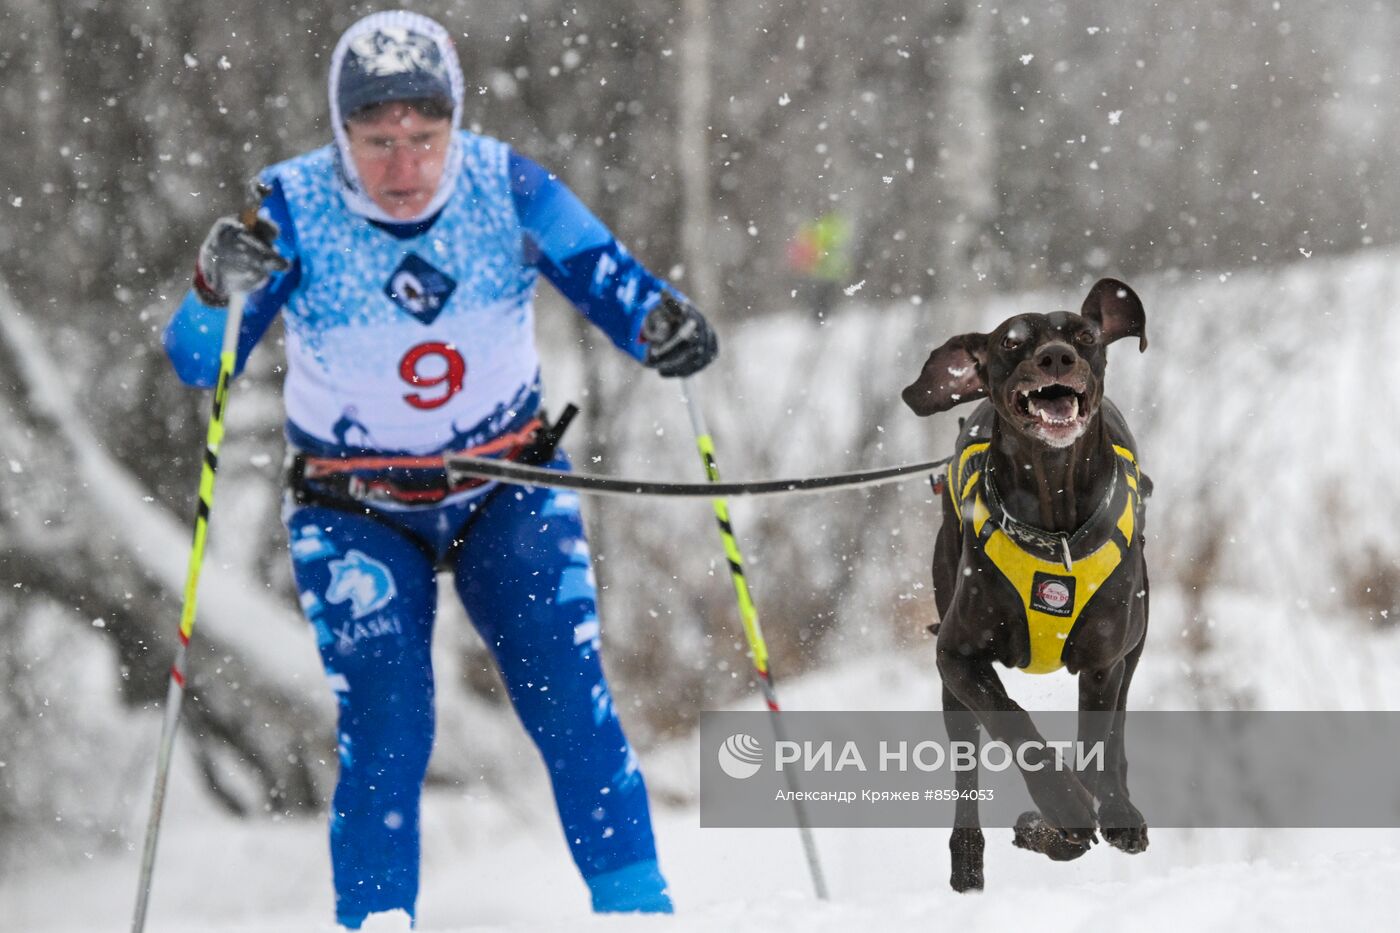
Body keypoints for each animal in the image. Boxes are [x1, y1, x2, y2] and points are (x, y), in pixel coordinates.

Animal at [907, 275, 1148, 885]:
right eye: (1010, 343)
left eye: (1085, 335)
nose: (1056, 357)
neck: (1053, 519)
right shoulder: (956, 655)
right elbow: (1013, 722)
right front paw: (1059, 808)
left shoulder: (1105, 661)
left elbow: (1096, 745)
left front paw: (1061, 823)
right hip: (950, 681)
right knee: (965, 765)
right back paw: (968, 863)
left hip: (1136, 640)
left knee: (1117, 735)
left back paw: (1119, 811)